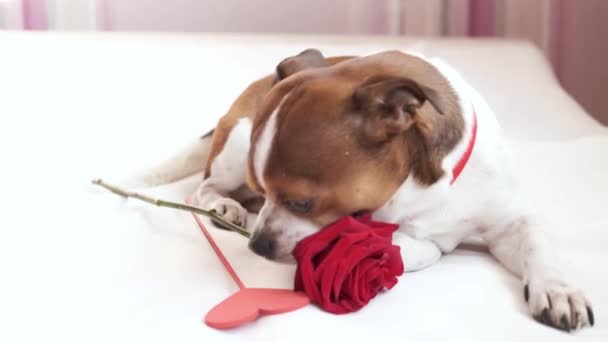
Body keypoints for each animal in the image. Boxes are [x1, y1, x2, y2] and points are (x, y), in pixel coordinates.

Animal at [134, 48, 592, 332]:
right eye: (270, 190)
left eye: (302, 202)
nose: (258, 245)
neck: (422, 188)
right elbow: (409, 245)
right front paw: (420, 243)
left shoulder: (509, 221)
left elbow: (536, 240)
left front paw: (559, 289)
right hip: (236, 146)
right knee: (203, 187)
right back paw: (224, 206)